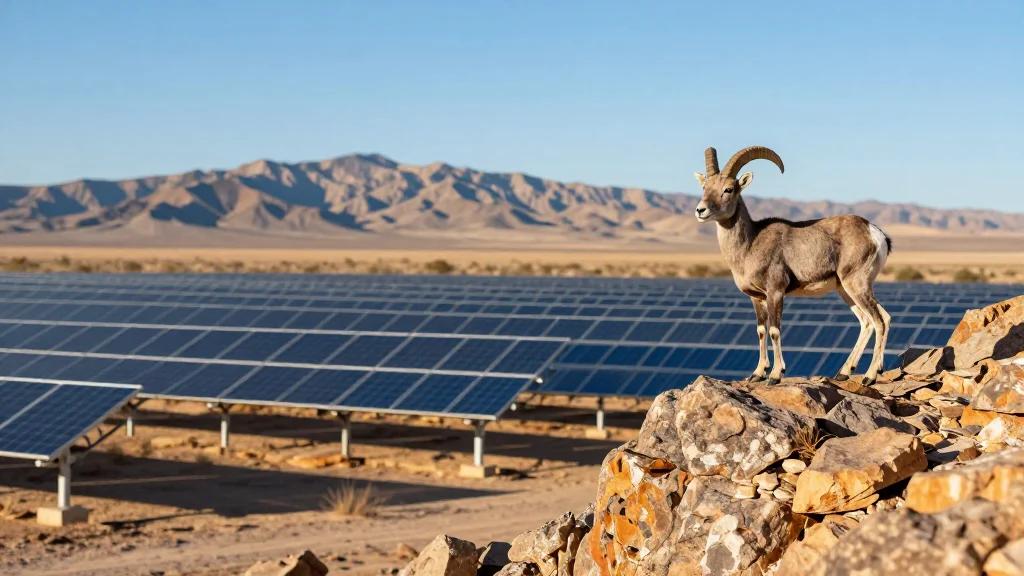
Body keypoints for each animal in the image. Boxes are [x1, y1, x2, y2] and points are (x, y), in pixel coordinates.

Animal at [693, 146, 892, 385]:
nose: (701, 210)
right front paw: (757, 373)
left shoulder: (776, 292)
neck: (750, 244)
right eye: (704, 187)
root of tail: (875, 233)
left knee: (879, 321)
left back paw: (870, 376)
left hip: (856, 285)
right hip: (846, 289)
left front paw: (775, 375)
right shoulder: (757, 298)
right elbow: (761, 330)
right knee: (869, 321)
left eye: (728, 189)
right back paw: (845, 372)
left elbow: (774, 330)